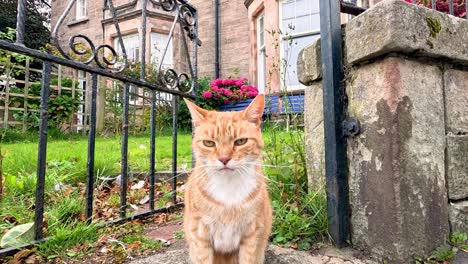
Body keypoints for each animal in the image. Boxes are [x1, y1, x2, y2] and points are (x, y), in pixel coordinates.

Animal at [182, 95, 270, 264]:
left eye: (241, 141)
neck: (228, 187)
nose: (224, 159)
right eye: (209, 143)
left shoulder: (252, 235)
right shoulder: (200, 237)